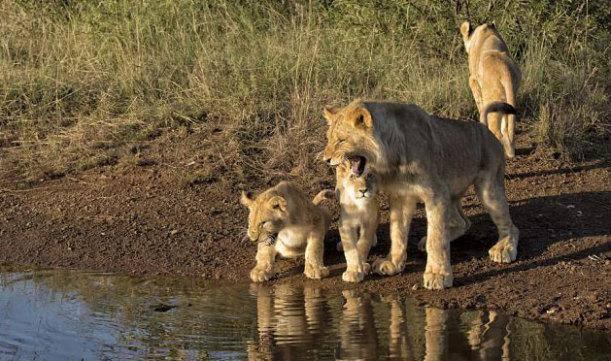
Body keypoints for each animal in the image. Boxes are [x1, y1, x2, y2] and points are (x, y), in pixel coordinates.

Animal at [322, 98, 520, 290]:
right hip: (452, 193)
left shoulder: (436, 195)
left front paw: (437, 275)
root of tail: (484, 128)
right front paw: (393, 263)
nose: (326, 159)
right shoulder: (402, 196)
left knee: (510, 226)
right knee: (464, 222)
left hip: (489, 189)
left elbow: (436, 237)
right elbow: (397, 233)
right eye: (328, 139)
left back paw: (504, 248)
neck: (392, 158)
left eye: (341, 140)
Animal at [462, 21, 524, 158]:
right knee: (505, 127)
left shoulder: (473, 80)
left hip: (492, 98)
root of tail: (504, 69)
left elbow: (479, 104)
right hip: (508, 97)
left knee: (496, 131)